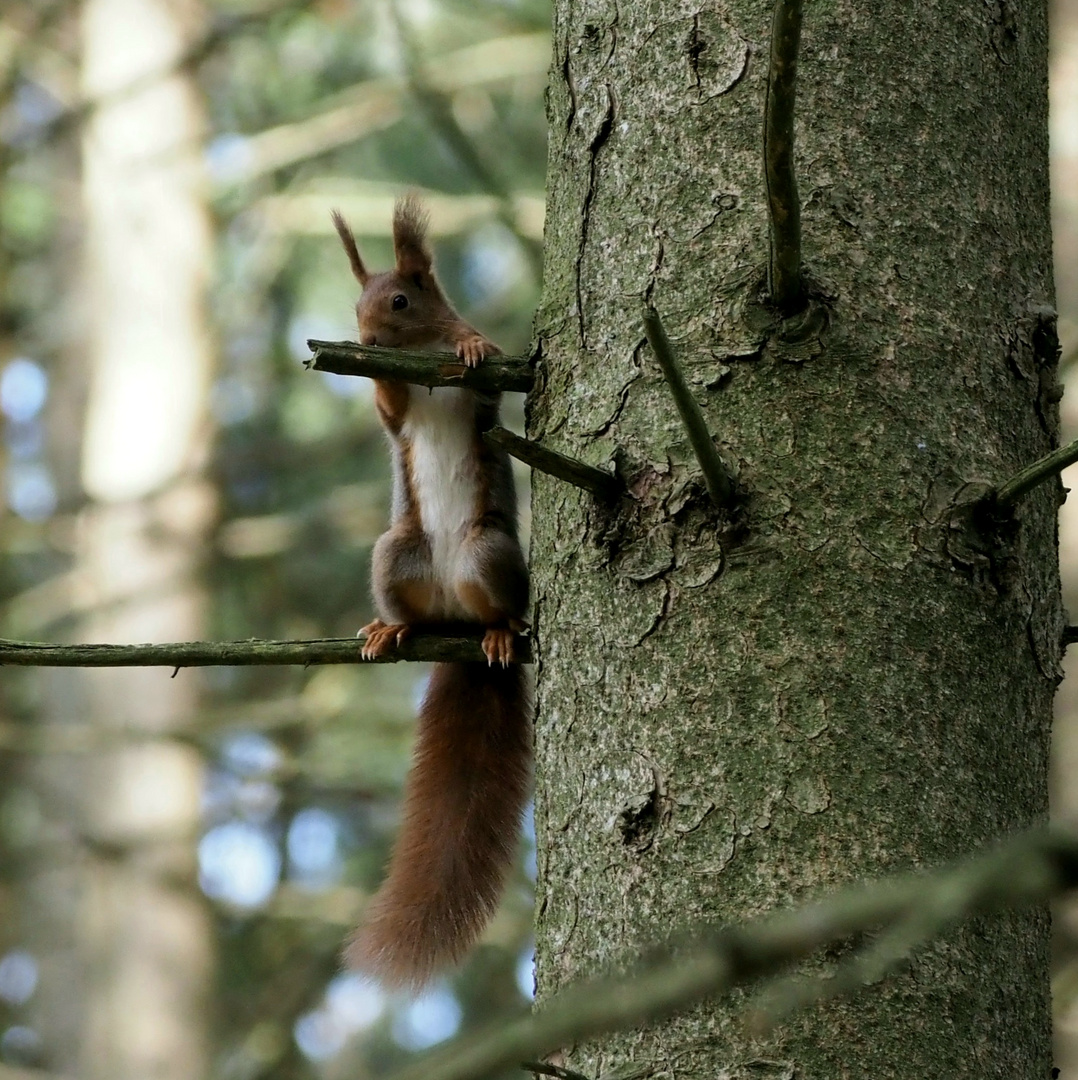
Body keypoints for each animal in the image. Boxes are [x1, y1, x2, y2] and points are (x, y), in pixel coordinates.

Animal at [328, 194, 531, 989]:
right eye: (357, 303)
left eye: (401, 301)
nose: (361, 339)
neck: (419, 367)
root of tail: (457, 626)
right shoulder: (398, 413)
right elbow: (390, 415)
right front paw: (374, 378)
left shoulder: (484, 391)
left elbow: (485, 371)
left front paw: (471, 345)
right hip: (396, 553)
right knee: (406, 604)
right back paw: (394, 630)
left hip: (486, 551)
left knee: (503, 608)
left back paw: (502, 630)